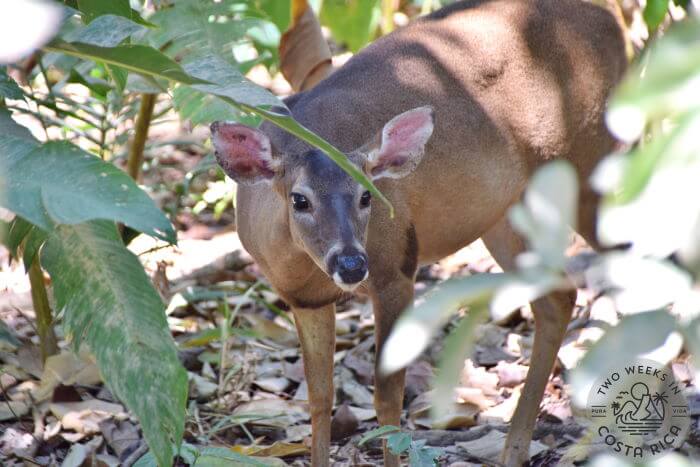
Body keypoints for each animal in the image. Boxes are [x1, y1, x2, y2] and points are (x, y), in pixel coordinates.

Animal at [209, 0, 626, 465]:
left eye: (367, 195)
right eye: (300, 200)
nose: (351, 264)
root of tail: (612, 17)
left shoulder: (397, 268)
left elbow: (387, 397)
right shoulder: (304, 299)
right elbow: (319, 395)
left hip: (591, 152)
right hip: (506, 213)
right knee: (559, 296)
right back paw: (514, 449)